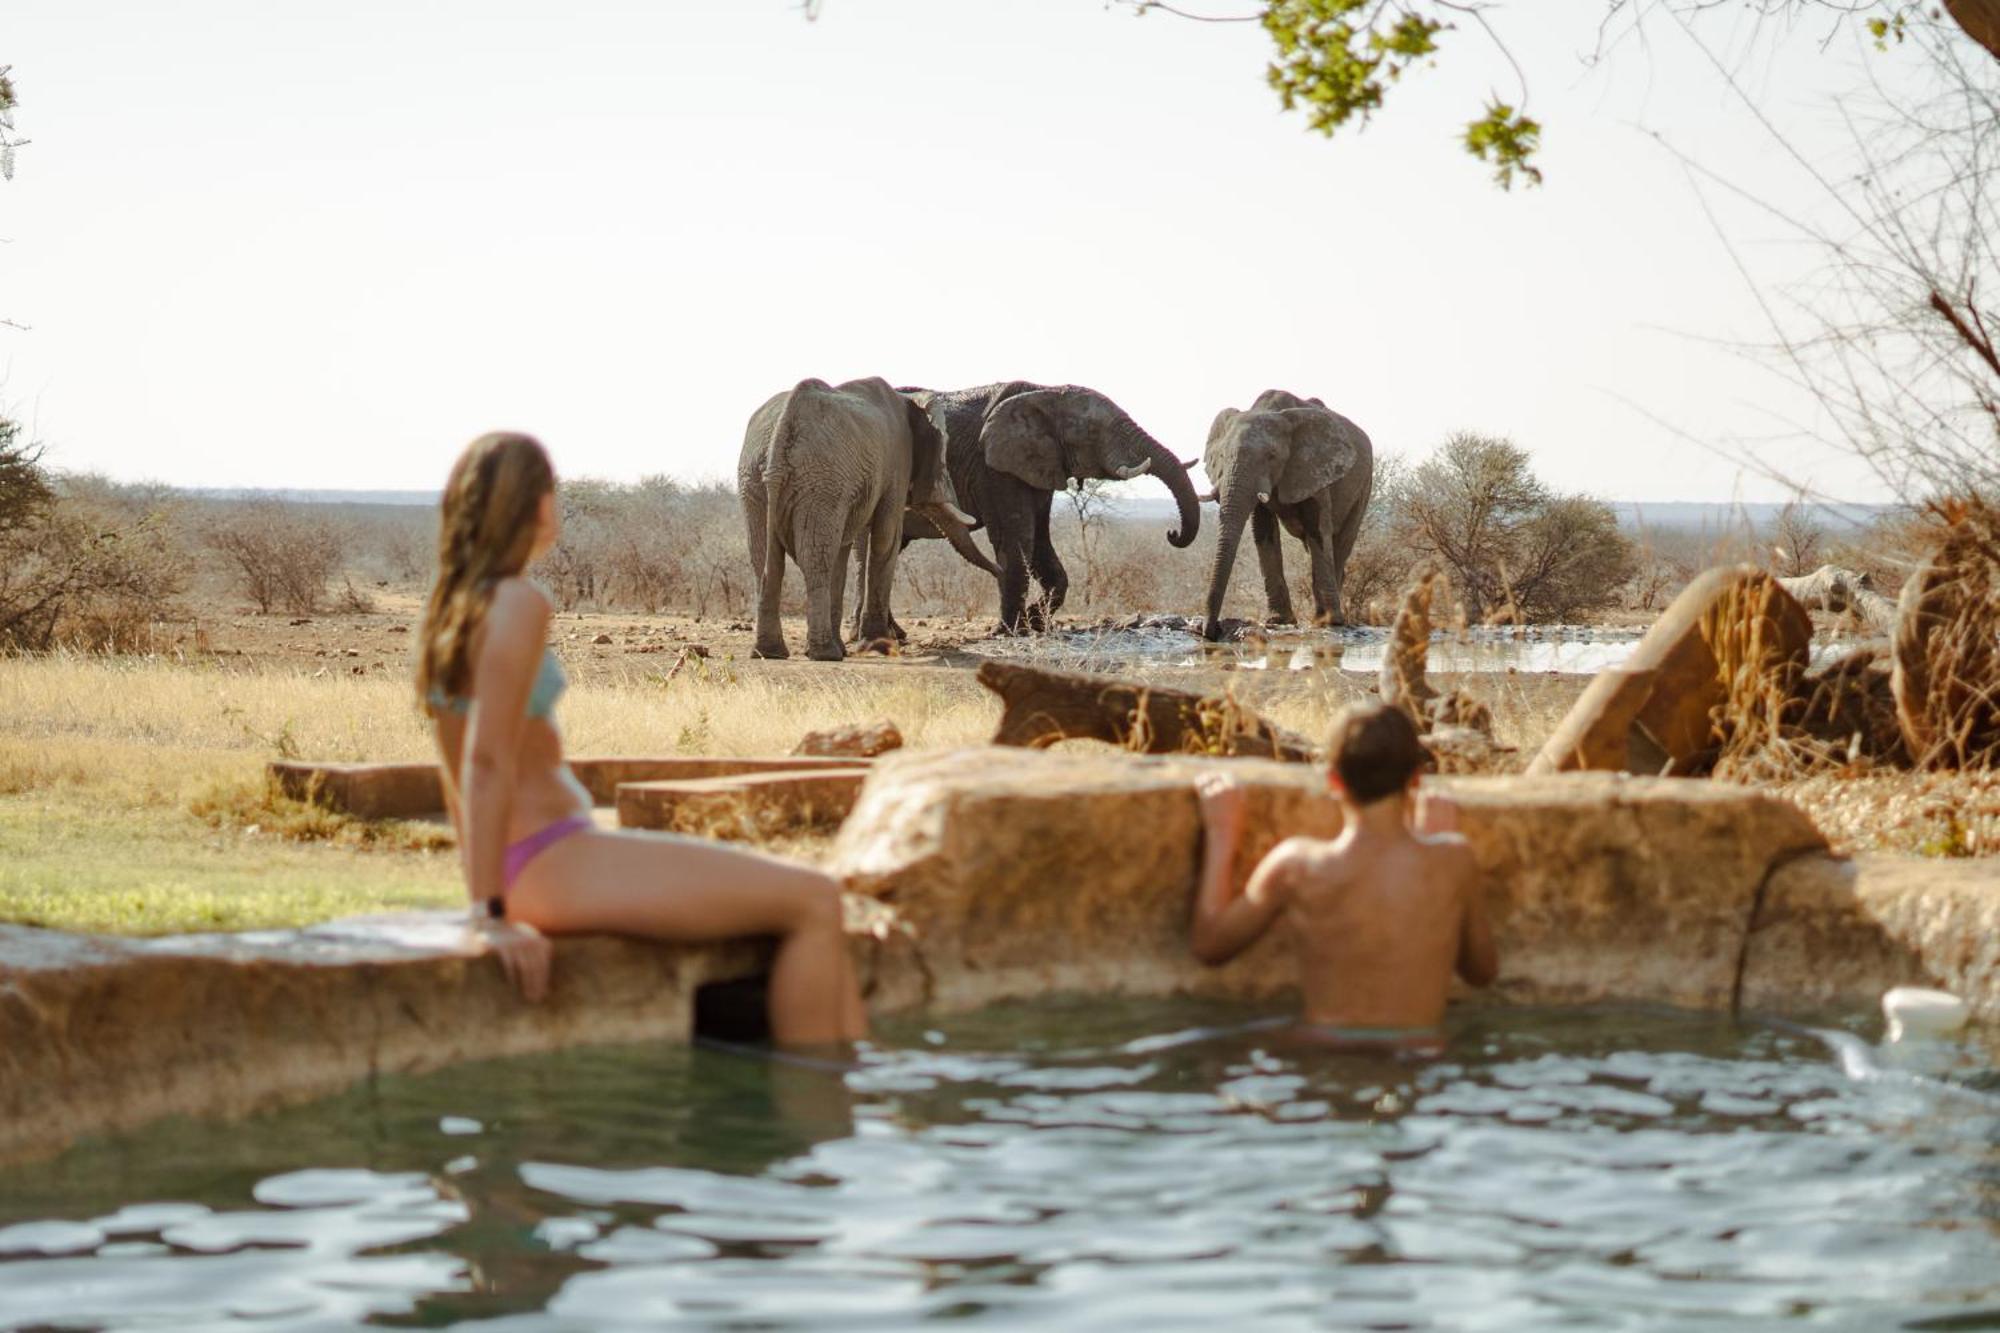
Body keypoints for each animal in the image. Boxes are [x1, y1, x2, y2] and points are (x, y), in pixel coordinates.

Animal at [740, 376, 988, 656]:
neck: (910, 399)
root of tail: (785, 422)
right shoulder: (897, 461)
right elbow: (886, 537)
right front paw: (877, 644)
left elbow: (844, 549)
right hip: (821, 479)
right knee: (815, 559)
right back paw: (826, 654)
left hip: (757, 480)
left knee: (765, 559)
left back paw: (771, 653)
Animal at [896, 378, 1200, 628]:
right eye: (1092, 431)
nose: (1172, 533)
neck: (1046, 392)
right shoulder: (993, 468)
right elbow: (1018, 537)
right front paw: (1012, 630)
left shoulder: (1039, 463)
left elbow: (1040, 539)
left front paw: (1034, 622)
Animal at [1200, 384, 1376, 640]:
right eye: (1223, 456)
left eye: (1271, 456)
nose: (1211, 631)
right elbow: (1262, 530)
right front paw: (1278, 621)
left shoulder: (1316, 467)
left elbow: (1317, 528)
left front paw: (1331, 623)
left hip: (1364, 485)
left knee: (1342, 543)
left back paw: (1325, 617)